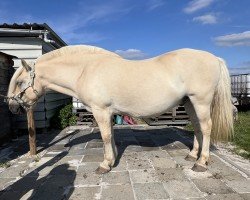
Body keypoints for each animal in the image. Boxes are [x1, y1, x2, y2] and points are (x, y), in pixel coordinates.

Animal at [8, 45, 234, 173]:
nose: (11, 107)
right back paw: (192, 155)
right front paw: (113, 158)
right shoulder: (108, 112)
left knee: (206, 127)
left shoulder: (100, 110)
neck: (85, 70)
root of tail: (215, 58)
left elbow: (106, 136)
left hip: (201, 101)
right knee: (196, 127)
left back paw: (201, 162)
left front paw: (105, 165)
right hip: (189, 102)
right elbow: (111, 135)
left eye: (19, 82)